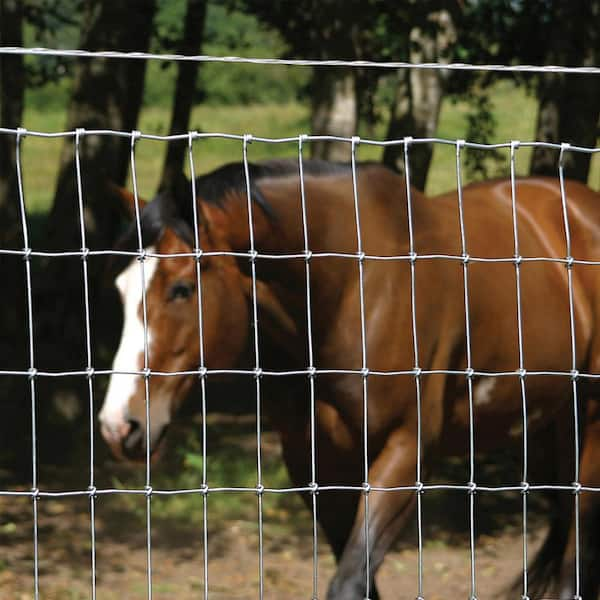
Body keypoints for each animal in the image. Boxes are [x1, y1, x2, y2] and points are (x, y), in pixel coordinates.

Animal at [99, 161, 600, 600]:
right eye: (120, 290)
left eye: (181, 288)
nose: (119, 425)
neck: (353, 290)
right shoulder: (317, 468)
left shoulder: (405, 455)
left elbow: (349, 582)